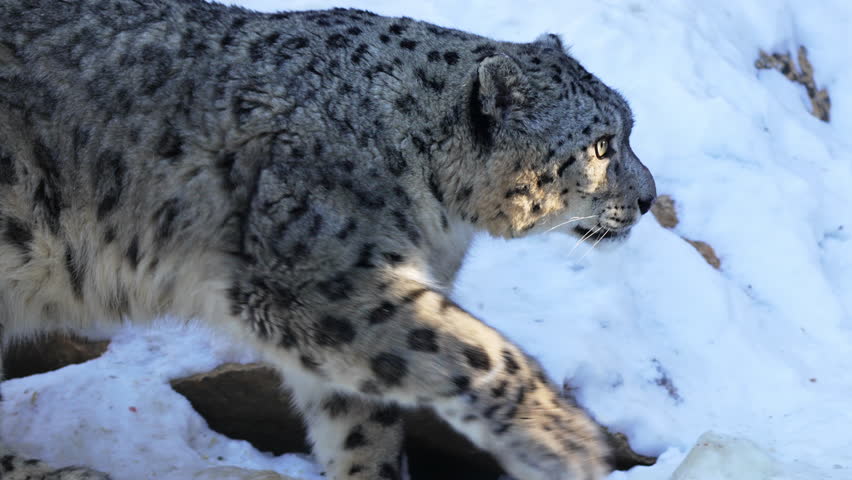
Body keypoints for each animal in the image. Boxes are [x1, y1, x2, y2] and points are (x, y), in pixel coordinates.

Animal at [0, 1, 656, 479]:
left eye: (628, 128)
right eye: (601, 145)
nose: (650, 198)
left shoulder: (360, 305)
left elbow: (363, 420)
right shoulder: (326, 282)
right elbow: (480, 352)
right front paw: (565, 440)